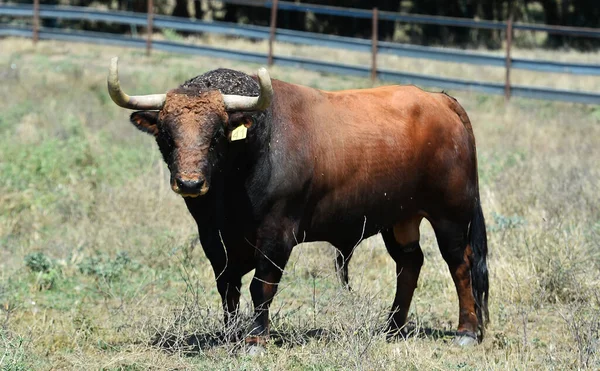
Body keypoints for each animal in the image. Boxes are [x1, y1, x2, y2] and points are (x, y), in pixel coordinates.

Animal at [106, 56, 488, 348]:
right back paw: (392, 328)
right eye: (166, 135)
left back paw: (466, 332)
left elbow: (262, 286)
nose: (189, 182)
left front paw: (255, 340)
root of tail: (440, 100)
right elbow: (228, 287)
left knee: (460, 265)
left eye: (216, 135)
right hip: (399, 219)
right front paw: (229, 335)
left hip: (451, 216)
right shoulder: (214, 239)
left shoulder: (277, 235)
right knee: (410, 264)